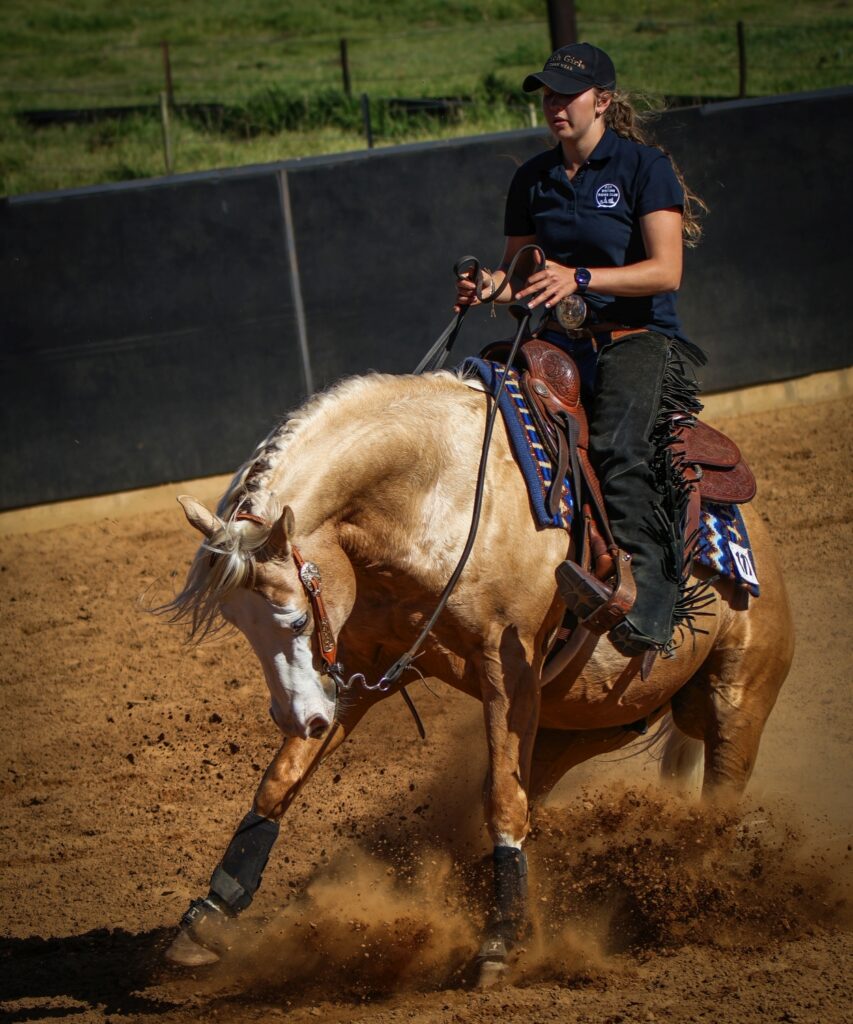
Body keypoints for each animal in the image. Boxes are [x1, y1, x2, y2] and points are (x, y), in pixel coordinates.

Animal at [160, 368, 794, 983]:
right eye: (238, 625)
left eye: (294, 618)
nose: (302, 717)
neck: (446, 496)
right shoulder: (364, 666)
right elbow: (281, 780)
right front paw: (206, 918)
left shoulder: (507, 674)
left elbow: (503, 804)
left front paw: (499, 941)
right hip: (582, 726)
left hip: (737, 702)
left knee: (715, 809)